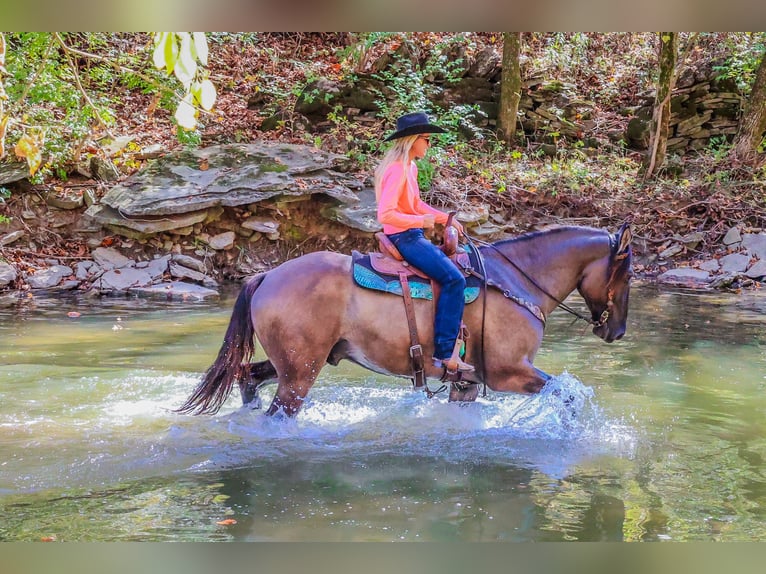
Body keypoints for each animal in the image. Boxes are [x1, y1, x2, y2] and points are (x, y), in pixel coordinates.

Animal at [176, 222, 633, 418]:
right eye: (628, 274)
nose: (618, 331)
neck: (513, 280)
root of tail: (267, 275)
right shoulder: (508, 372)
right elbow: (566, 394)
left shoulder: (467, 383)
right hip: (300, 373)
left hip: (295, 362)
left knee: (247, 377)